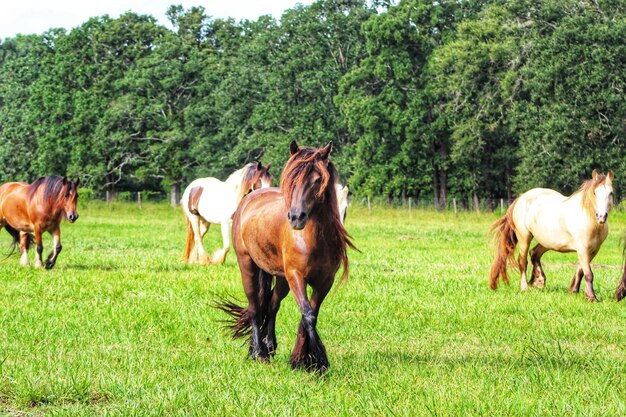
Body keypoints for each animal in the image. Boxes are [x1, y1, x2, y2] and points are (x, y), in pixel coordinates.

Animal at [214, 140, 354, 370]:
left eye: (318, 180)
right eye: (291, 178)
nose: (296, 217)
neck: (313, 238)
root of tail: (249, 197)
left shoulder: (325, 281)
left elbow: (310, 313)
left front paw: (302, 359)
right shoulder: (296, 276)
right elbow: (308, 314)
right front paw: (317, 361)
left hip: (281, 278)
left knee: (272, 304)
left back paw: (269, 345)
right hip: (249, 267)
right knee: (255, 307)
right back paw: (259, 353)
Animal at [486, 169, 612, 302]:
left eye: (610, 193)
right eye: (594, 193)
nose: (601, 217)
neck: (589, 219)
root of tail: (521, 198)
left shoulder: (593, 250)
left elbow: (581, 271)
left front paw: (574, 291)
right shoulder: (582, 249)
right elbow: (588, 274)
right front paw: (592, 298)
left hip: (547, 242)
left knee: (534, 253)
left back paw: (539, 281)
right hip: (524, 238)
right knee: (522, 262)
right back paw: (525, 287)